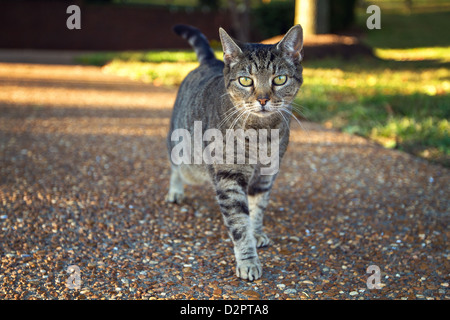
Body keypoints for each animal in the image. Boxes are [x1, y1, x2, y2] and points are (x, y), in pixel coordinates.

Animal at [167, 24, 304, 280]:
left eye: (280, 79)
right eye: (245, 80)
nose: (263, 99)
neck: (262, 132)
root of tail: (210, 61)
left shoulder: (266, 174)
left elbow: (257, 208)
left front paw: (256, 232)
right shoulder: (228, 176)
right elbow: (239, 223)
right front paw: (248, 260)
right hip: (183, 154)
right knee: (175, 169)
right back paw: (175, 191)